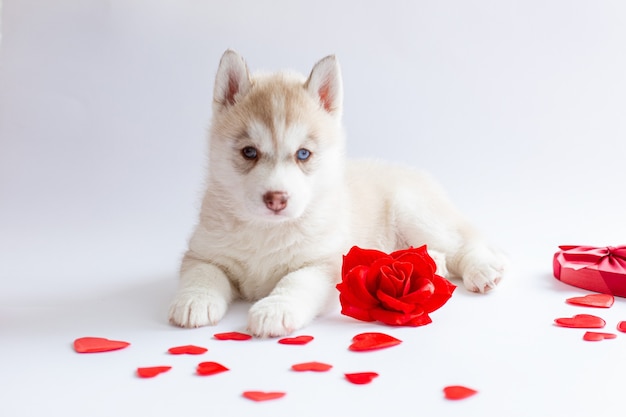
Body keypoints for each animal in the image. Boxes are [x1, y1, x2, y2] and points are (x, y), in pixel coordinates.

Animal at [168, 50, 504, 336]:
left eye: (303, 154)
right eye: (249, 152)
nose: (276, 199)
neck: (266, 231)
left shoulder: (324, 262)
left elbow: (296, 282)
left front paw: (275, 309)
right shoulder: (203, 253)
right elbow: (203, 274)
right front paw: (195, 300)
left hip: (416, 214)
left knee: (462, 244)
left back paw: (483, 269)